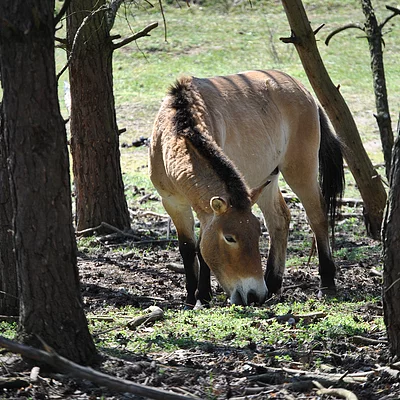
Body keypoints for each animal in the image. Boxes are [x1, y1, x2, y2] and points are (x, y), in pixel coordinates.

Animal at [148, 70, 346, 308]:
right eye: (230, 238)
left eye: (255, 234)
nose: (254, 294)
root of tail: (306, 93)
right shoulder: (173, 203)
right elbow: (187, 247)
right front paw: (190, 297)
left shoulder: (206, 212)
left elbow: (201, 250)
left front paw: (202, 297)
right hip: (267, 179)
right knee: (279, 219)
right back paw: (273, 284)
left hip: (301, 171)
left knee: (317, 216)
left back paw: (326, 283)